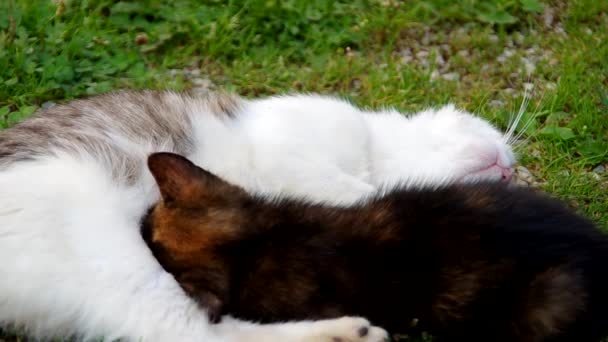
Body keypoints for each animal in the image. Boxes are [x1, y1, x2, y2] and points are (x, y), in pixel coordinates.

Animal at [0, 89, 516, 340]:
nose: (510, 169)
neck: (373, 153)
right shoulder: (291, 147)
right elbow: (357, 193)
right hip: (110, 258)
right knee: (188, 334)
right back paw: (344, 332)